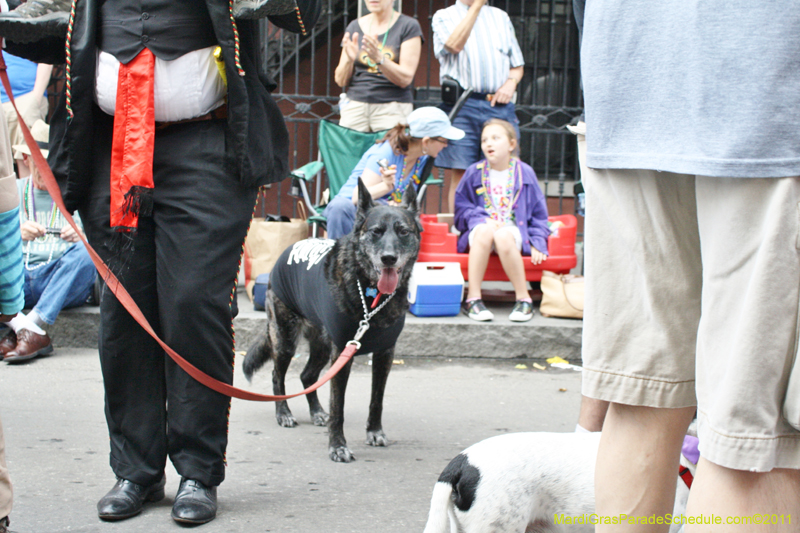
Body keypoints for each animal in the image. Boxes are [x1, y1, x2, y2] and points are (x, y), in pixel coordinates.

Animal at [242, 179, 418, 462]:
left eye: (403, 231)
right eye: (376, 232)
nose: (389, 258)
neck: (370, 295)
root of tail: (288, 250)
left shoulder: (384, 355)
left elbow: (376, 400)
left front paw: (374, 432)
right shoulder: (341, 356)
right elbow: (339, 407)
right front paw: (337, 446)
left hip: (322, 345)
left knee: (306, 376)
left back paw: (316, 412)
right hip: (286, 339)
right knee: (277, 375)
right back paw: (284, 413)